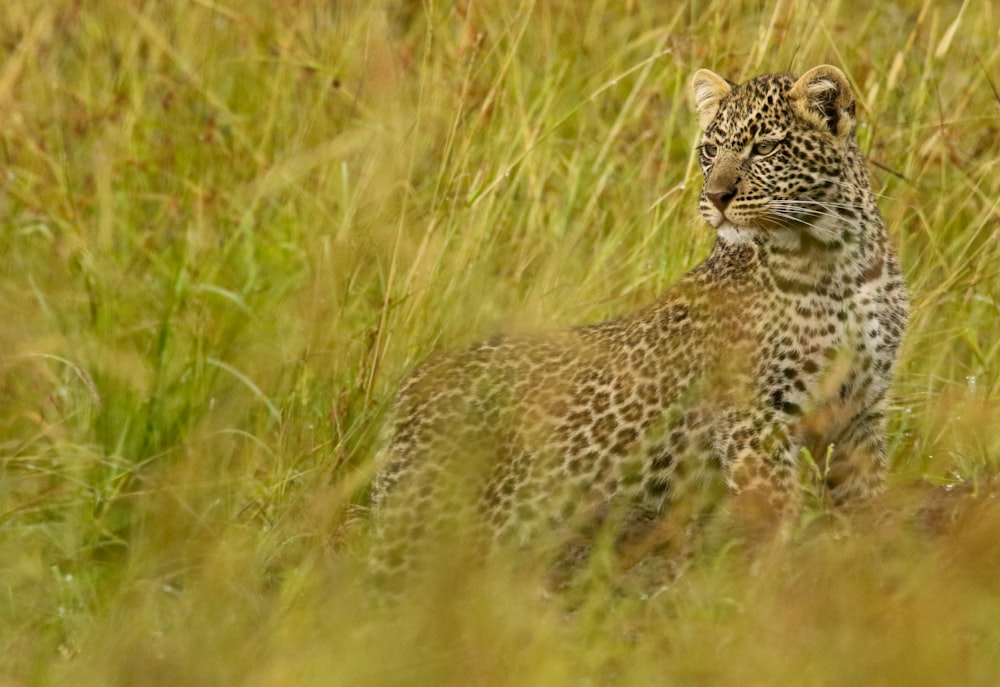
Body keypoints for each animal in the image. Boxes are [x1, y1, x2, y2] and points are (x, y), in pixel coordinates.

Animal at [368, 66, 908, 592]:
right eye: (709, 151)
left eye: (765, 148)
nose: (716, 197)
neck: (835, 262)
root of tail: (409, 393)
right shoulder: (754, 418)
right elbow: (777, 514)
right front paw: (775, 585)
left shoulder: (861, 410)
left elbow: (866, 502)